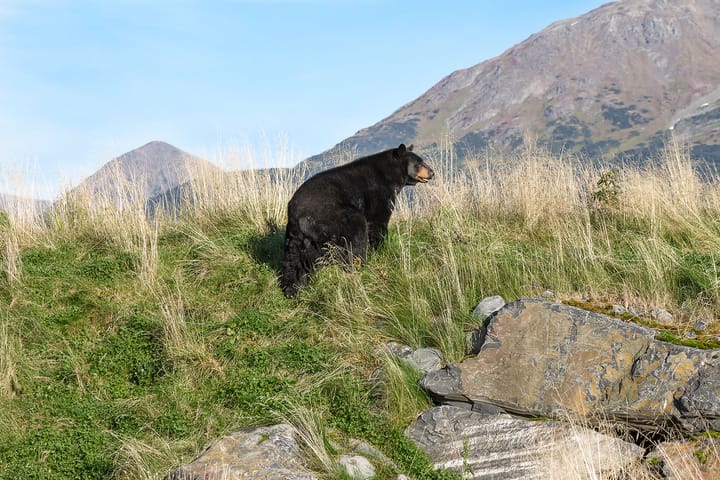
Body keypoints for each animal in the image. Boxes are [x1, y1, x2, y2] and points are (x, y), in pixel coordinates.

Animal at [282, 142, 434, 296]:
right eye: (419, 163)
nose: (432, 172)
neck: (391, 176)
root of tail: (297, 215)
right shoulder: (379, 195)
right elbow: (378, 224)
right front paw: (381, 251)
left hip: (297, 238)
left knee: (294, 261)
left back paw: (294, 288)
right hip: (334, 217)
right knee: (357, 234)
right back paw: (360, 265)